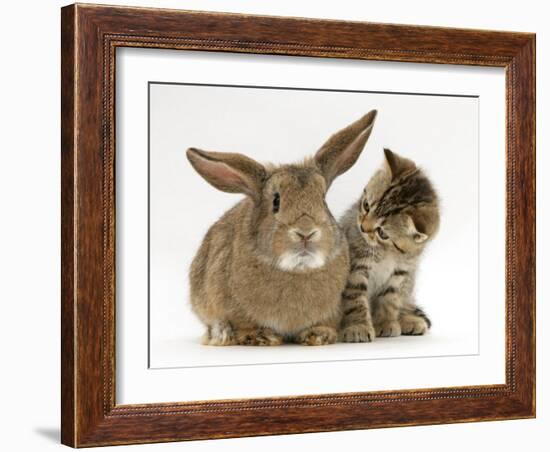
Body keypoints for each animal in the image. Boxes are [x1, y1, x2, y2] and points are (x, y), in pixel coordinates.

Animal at [188, 110, 378, 346]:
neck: (297, 268)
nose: (306, 233)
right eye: (276, 202)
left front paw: (319, 335)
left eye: (323, 200)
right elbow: (243, 326)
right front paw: (261, 336)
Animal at [338, 149, 442, 342]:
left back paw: (409, 320)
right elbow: (355, 298)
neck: (387, 252)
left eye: (382, 233)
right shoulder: (356, 266)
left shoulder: (401, 272)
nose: (363, 228)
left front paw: (385, 323)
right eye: (366, 206)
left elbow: (390, 300)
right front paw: (358, 326)